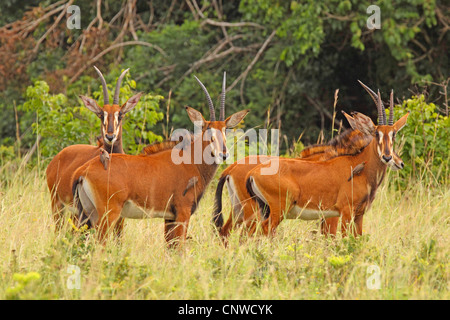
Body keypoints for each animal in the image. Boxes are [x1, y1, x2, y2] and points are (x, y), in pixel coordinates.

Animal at [45, 67, 141, 228]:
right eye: (101, 114)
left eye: (120, 114)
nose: (110, 136)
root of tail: (56, 159)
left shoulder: (121, 217)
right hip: (59, 205)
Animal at [73, 74, 250, 246]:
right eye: (208, 130)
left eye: (225, 130)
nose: (223, 154)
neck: (191, 160)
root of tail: (82, 171)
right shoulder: (183, 212)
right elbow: (179, 248)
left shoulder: (169, 217)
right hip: (108, 215)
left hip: (88, 216)